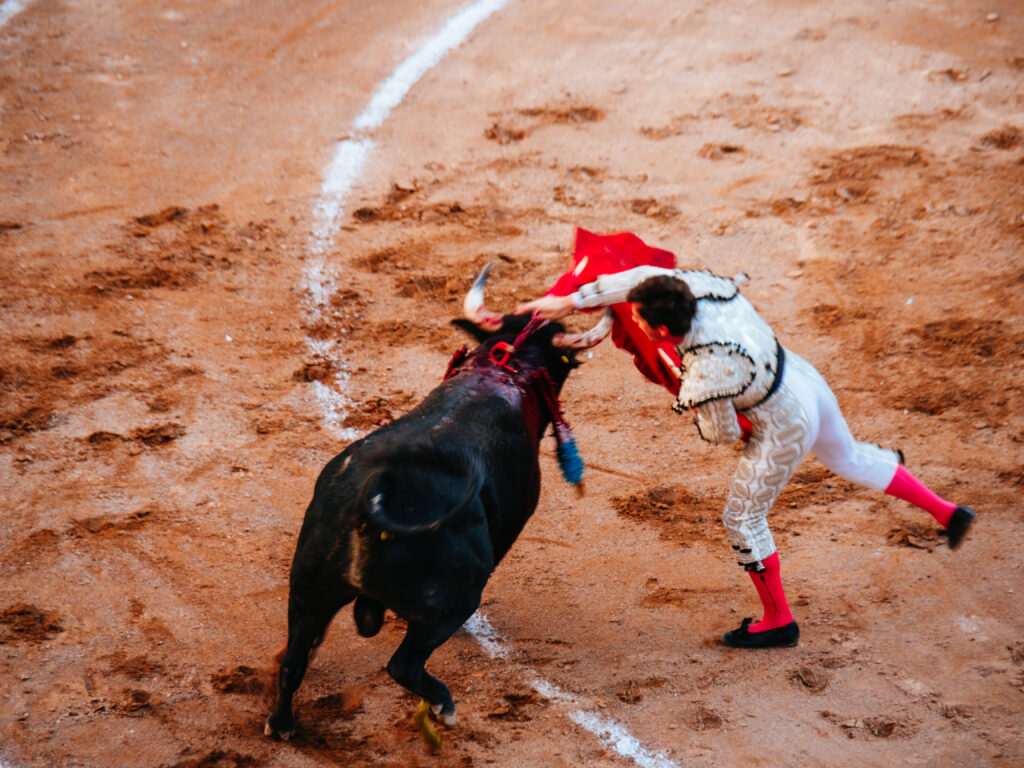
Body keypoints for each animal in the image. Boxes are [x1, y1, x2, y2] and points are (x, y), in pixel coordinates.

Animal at [268, 268, 610, 741]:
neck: (500, 373)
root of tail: (373, 490)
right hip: (453, 597)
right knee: (403, 665)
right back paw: (443, 707)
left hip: (307, 591)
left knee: (294, 660)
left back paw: (282, 723)